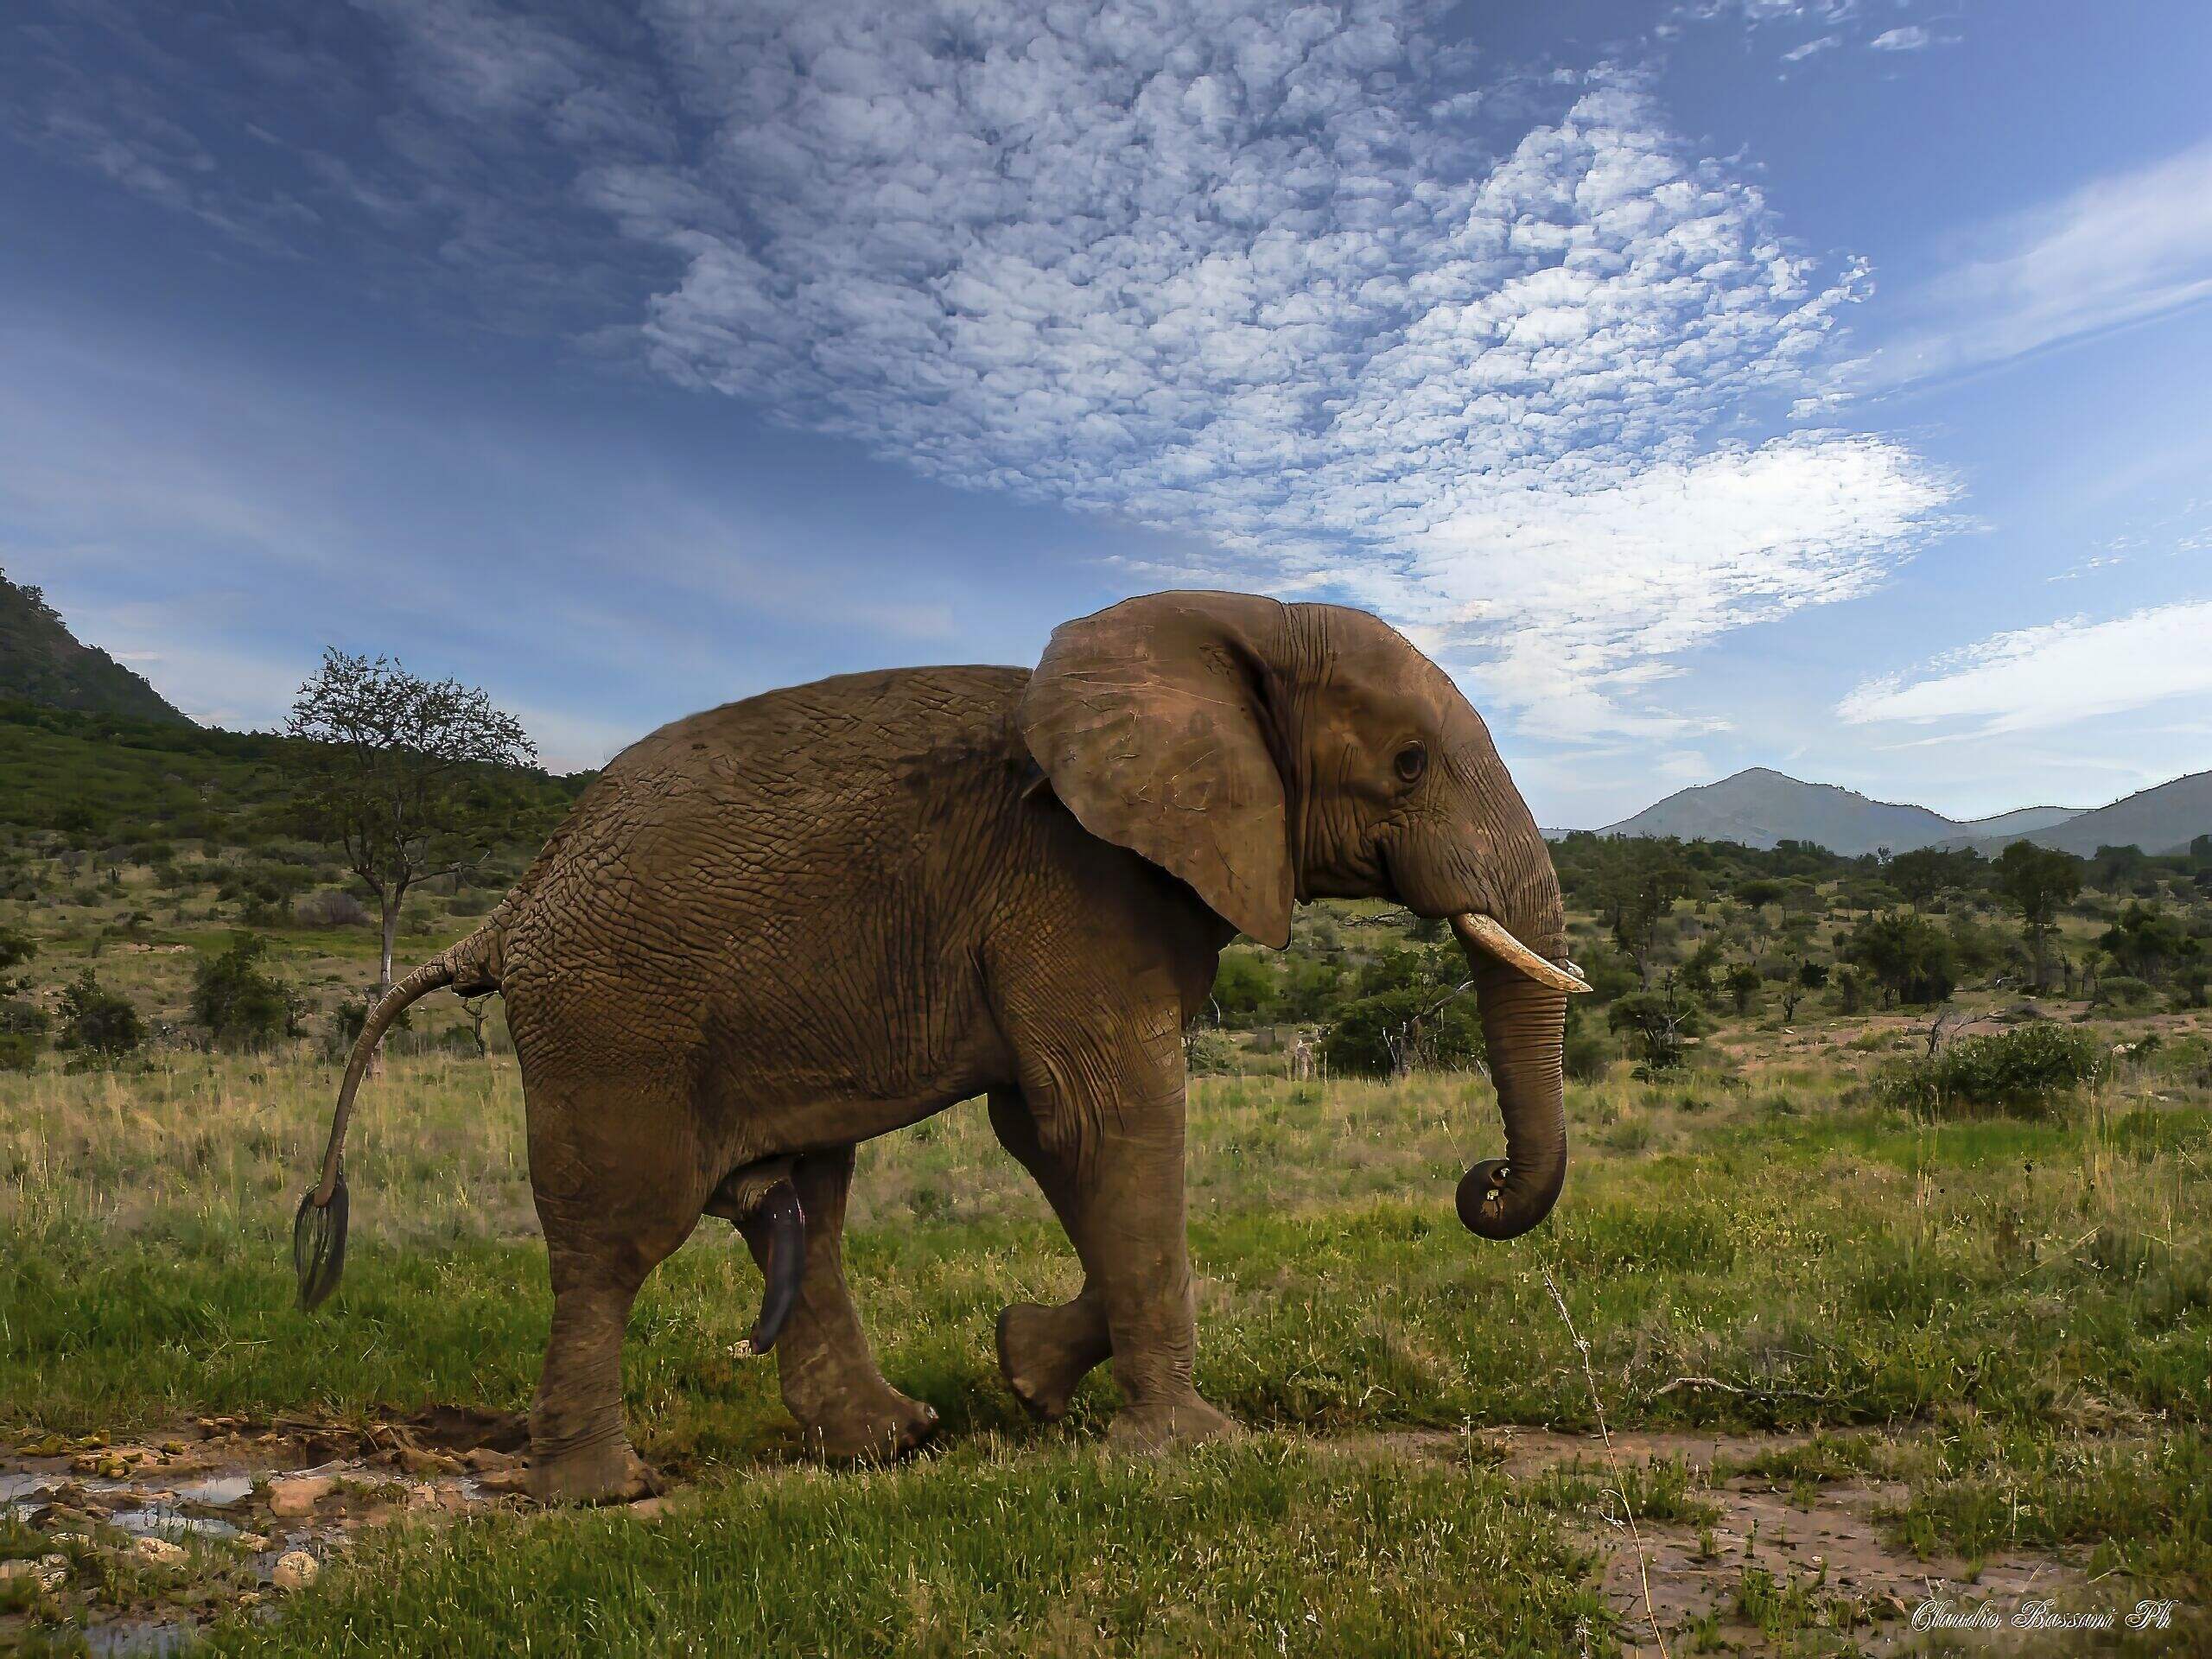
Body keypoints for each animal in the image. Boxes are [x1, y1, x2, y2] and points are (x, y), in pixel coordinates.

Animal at [293, 590, 1589, 1502]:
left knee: (804, 1206)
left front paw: (1027, 1371)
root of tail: (512, 909)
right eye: (1409, 765)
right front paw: (1189, 1452)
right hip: (611, 1019)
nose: (1480, 1181)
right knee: (618, 1237)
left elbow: (1050, 1134)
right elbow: (1104, 1119)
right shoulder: (1072, 883)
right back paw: (603, 1495)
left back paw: (891, 1443)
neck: (1231, 621)